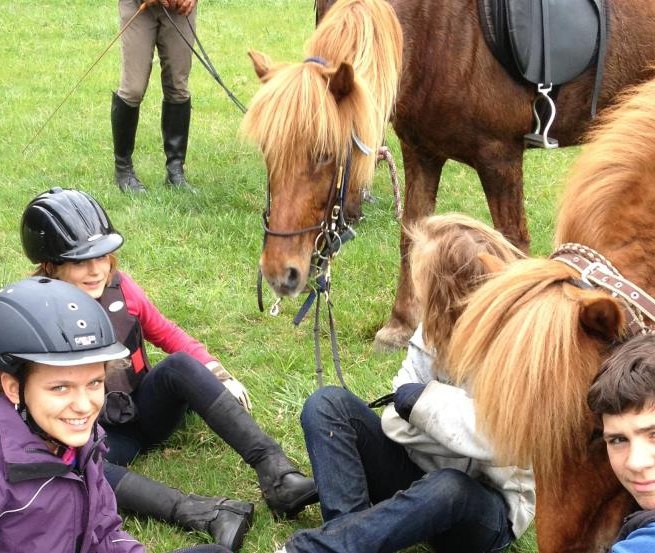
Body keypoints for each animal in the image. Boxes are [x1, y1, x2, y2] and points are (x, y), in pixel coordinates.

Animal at [245, 0, 655, 352]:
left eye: (325, 154)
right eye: (268, 153)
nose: (280, 272)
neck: (439, 30)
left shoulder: (500, 158)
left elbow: (512, 243)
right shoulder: (421, 152)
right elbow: (410, 237)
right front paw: (399, 324)